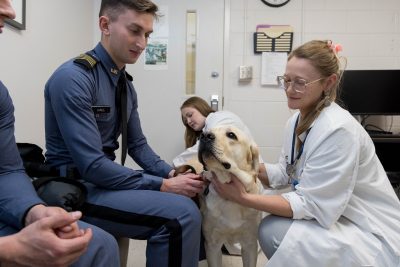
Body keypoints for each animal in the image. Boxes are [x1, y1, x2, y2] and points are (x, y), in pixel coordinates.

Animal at [198, 125, 260, 267]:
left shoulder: (250, 243)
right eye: (205, 131)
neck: (231, 200)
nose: (204, 135)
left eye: (231, 135)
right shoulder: (212, 245)